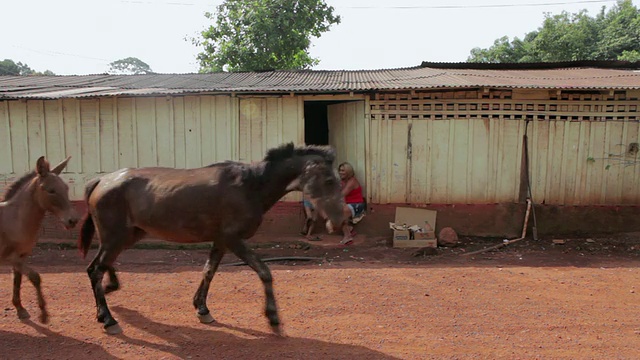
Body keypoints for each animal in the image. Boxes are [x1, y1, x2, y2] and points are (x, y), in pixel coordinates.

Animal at [0, 157, 79, 324]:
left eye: (66, 188)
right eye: (50, 190)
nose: (72, 220)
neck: (13, 220)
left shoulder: (21, 256)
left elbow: (18, 280)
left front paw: (20, 309)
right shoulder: (8, 257)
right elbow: (35, 277)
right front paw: (43, 314)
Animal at [77, 141, 348, 334]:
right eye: (328, 180)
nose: (340, 220)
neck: (250, 186)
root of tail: (102, 180)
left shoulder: (221, 240)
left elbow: (209, 271)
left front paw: (202, 309)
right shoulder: (233, 239)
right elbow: (264, 272)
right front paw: (273, 318)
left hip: (127, 235)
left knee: (101, 265)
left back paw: (108, 295)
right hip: (115, 236)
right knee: (95, 269)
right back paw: (108, 318)